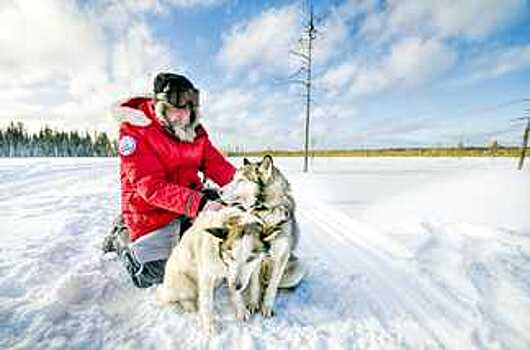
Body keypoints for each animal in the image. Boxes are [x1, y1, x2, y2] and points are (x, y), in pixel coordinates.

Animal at [156, 206, 264, 334]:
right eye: (231, 257)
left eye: (250, 258)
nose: (236, 286)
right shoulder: (207, 276)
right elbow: (207, 303)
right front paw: (209, 325)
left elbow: (237, 293)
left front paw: (240, 309)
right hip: (185, 285)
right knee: (181, 298)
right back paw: (190, 306)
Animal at [219, 156, 302, 318]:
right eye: (233, 178)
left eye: (241, 180)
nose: (219, 191)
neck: (266, 212)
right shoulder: (255, 258)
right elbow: (254, 284)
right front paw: (253, 304)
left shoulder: (281, 257)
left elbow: (272, 286)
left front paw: (267, 307)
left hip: (297, 270)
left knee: (270, 284)